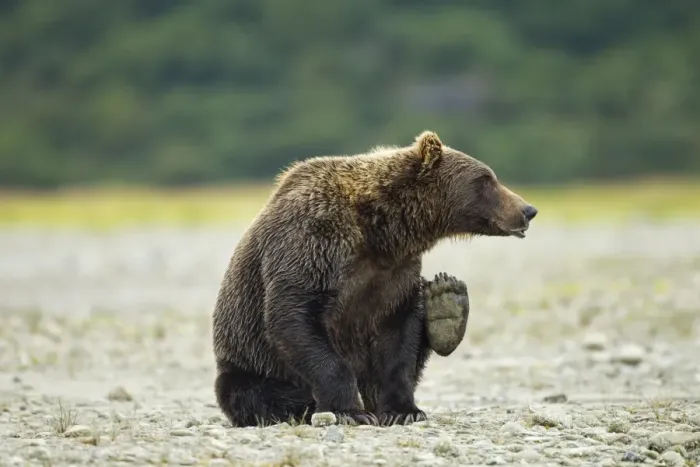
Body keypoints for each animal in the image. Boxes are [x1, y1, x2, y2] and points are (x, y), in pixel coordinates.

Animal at [212, 130, 538, 427]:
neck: (381, 230)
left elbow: (398, 336)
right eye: (485, 179)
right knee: (255, 392)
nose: (528, 209)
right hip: (249, 364)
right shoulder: (313, 241)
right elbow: (295, 315)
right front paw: (349, 411)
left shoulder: (396, 273)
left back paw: (446, 309)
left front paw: (403, 410)